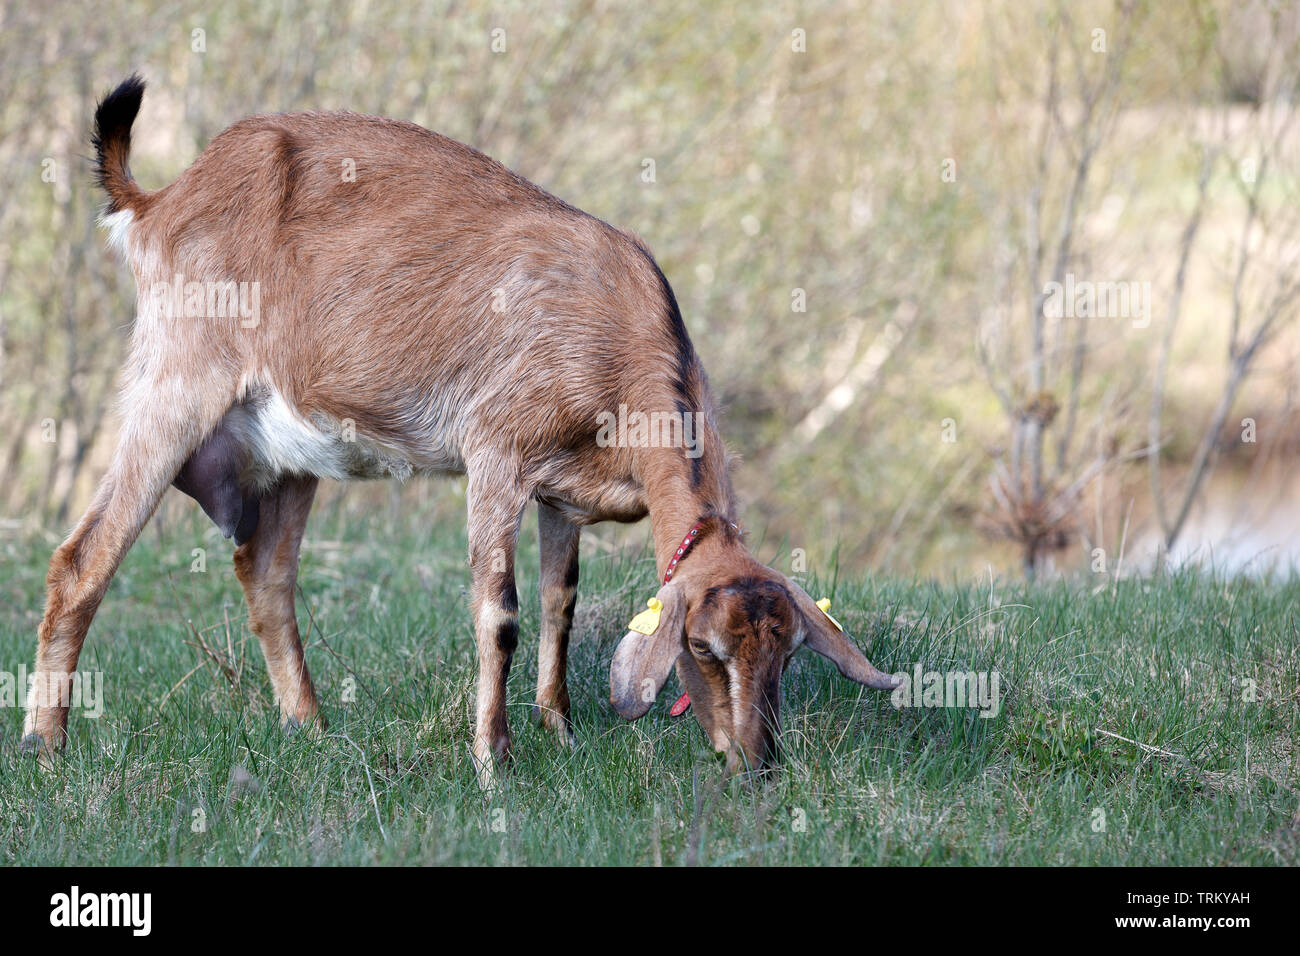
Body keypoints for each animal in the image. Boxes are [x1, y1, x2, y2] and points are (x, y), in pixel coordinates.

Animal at [20, 76, 899, 785]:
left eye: (787, 653)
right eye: (706, 650)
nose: (757, 763)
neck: (617, 332)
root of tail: (160, 200)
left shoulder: (563, 494)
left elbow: (559, 603)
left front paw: (559, 729)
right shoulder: (497, 456)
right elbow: (500, 611)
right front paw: (493, 759)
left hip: (292, 446)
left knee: (265, 575)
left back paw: (311, 728)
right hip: (177, 385)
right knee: (82, 559)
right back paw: (46, 745)